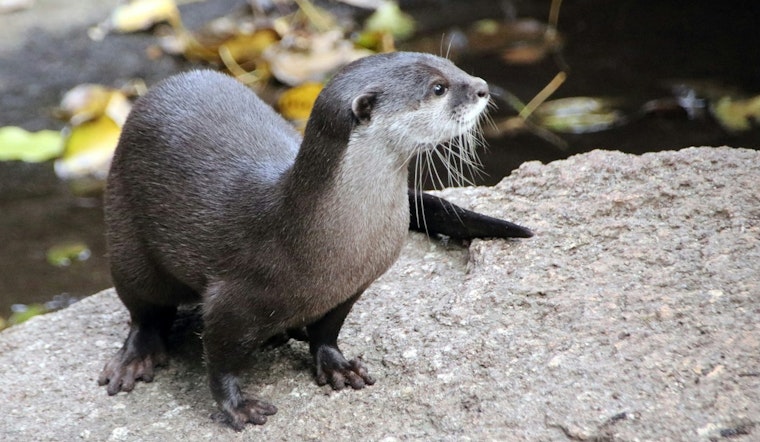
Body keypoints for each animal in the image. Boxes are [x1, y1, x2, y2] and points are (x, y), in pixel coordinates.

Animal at [98, 52, 531, 430]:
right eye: (439, 88)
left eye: (452, 66)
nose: (482, 87)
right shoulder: (231, 299)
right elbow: (219, 359)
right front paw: (238, 406)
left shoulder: (352, 285)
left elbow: (328, 329)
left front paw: (337, 364)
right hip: (125, 241)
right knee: (143, 308)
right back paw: (136, 357)